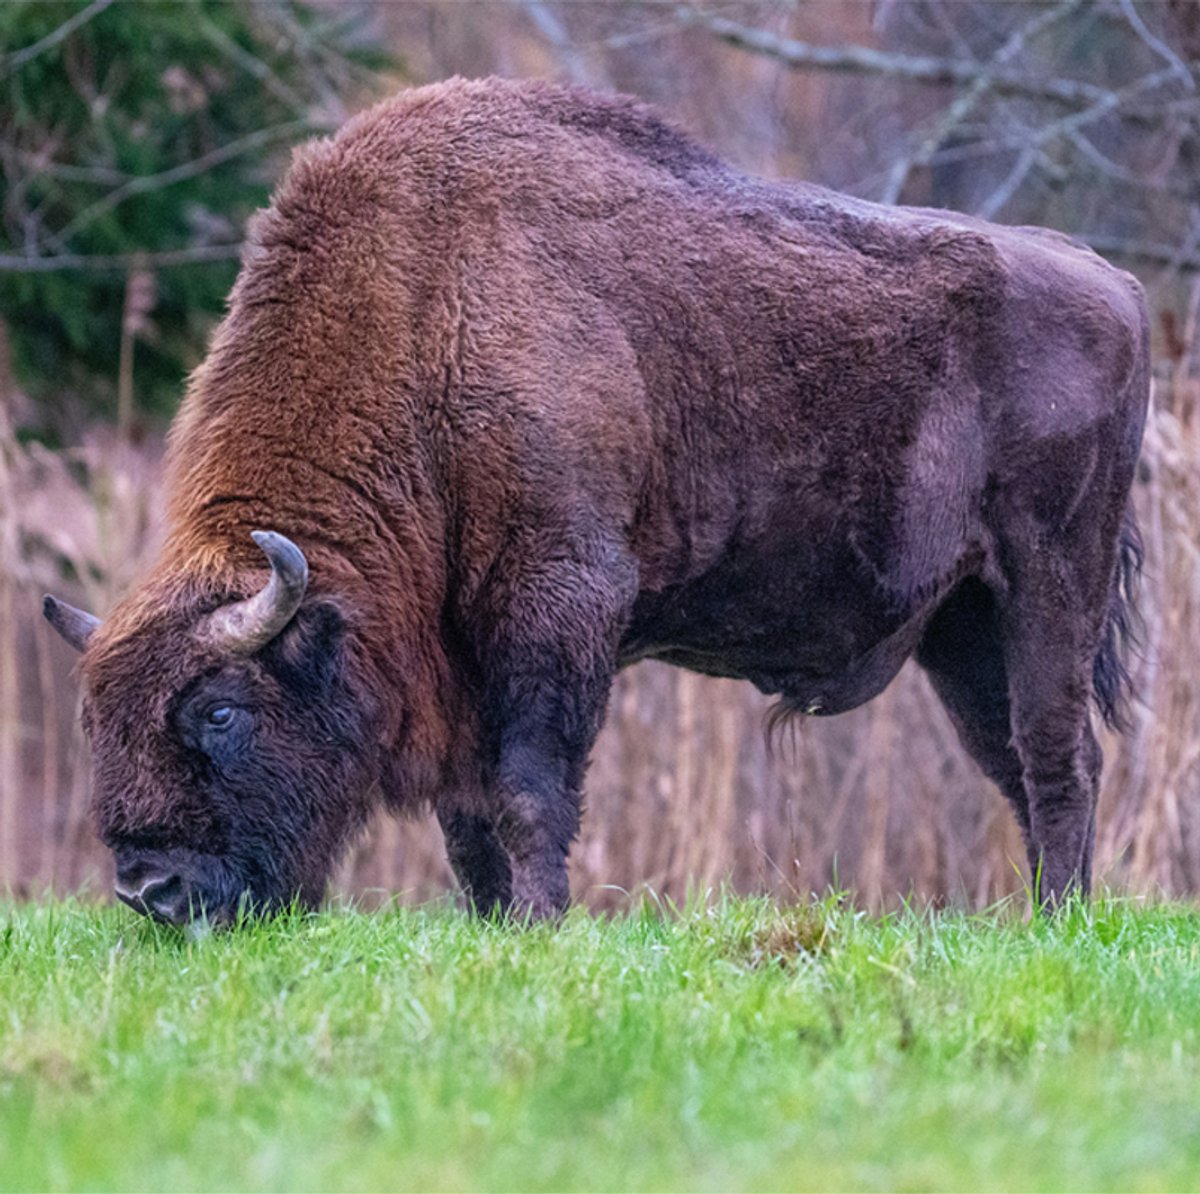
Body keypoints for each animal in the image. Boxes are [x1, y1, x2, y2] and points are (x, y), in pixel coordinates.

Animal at [44, 78, 1147, 924]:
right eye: (93, 721)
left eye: (220, 710)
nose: (150, 890)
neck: (427, 316)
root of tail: (1115, 282)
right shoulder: (460, 661)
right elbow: (470, 819)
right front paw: (493, 924)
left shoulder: (558, 604)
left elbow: (530, 792)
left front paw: (539, 924)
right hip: (961, 626)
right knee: (1010, 759)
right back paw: (1040, 913)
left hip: (1052, 581)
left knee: (1059, 753)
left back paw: (1061, 922)